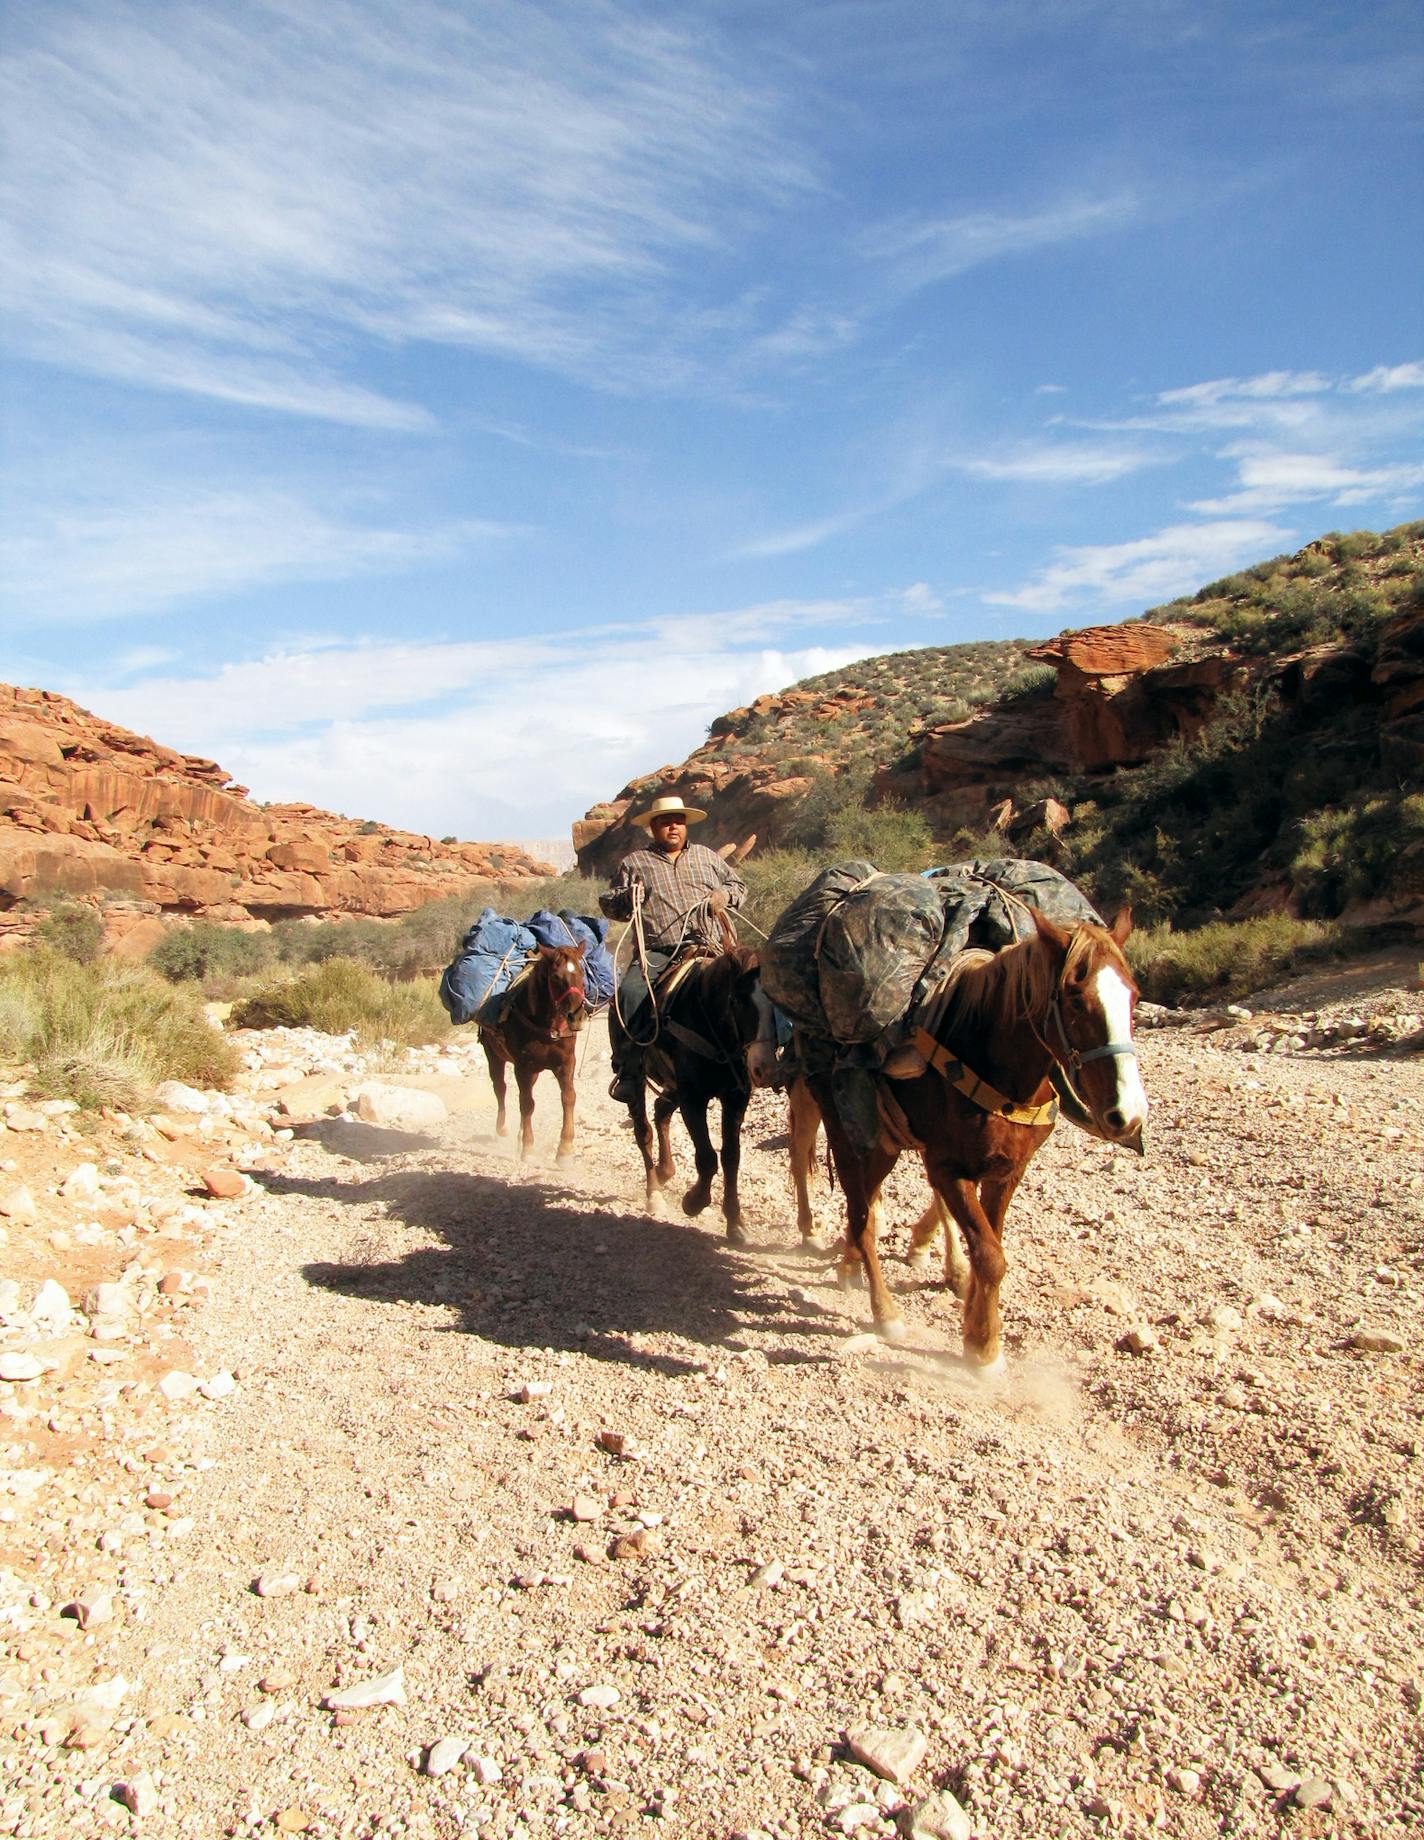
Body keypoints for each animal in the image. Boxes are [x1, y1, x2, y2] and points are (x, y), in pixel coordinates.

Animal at [482, 949, 588, 1162]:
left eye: (581, 972)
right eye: (556, 977)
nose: (577, 1017)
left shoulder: (566, 1063)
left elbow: (568, 1098)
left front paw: (565, 1150)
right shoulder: (522, 1066)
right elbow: (527, 1103)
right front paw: (528, 1148)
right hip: (493, 1056)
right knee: (500, 1087)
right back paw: (503, 1128)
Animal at [618, 949, 765, 1236]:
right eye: (739, 1000)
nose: (760, 1064)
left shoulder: (735, 1098)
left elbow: (731, 1157)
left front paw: (735, 1221)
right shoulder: (692, 1098)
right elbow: (707, 1157)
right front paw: (694, 1202)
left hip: (673, 1086)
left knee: (661, 1112)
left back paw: (665, 1170)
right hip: (639, 1083)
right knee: (643, 1132)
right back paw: (654, 1193)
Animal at [802, 912, 1148, 1376]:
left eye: (1134, 997)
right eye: (1076, 1000)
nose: (1128, 1115)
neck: (994, 1064)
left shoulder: (1008, 1170)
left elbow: (992, 1247)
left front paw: (976, 1329)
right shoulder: (948, 1169)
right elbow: (989, 1255)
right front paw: (984, 1350)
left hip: (884, 1145)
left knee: (867, 1207)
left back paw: (851, 1266)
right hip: (852, 1134)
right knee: (861, 1214)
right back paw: (884, 1311)